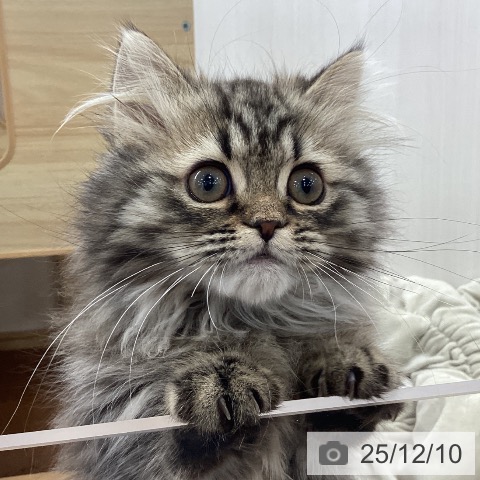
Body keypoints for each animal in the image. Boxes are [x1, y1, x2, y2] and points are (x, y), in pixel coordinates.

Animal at [54, 25, 403, 480]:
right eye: (208, 183)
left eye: (307, 185)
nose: (268, 224)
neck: (246, 320)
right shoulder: (130, 434)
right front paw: (221, 377)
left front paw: (342, 358)